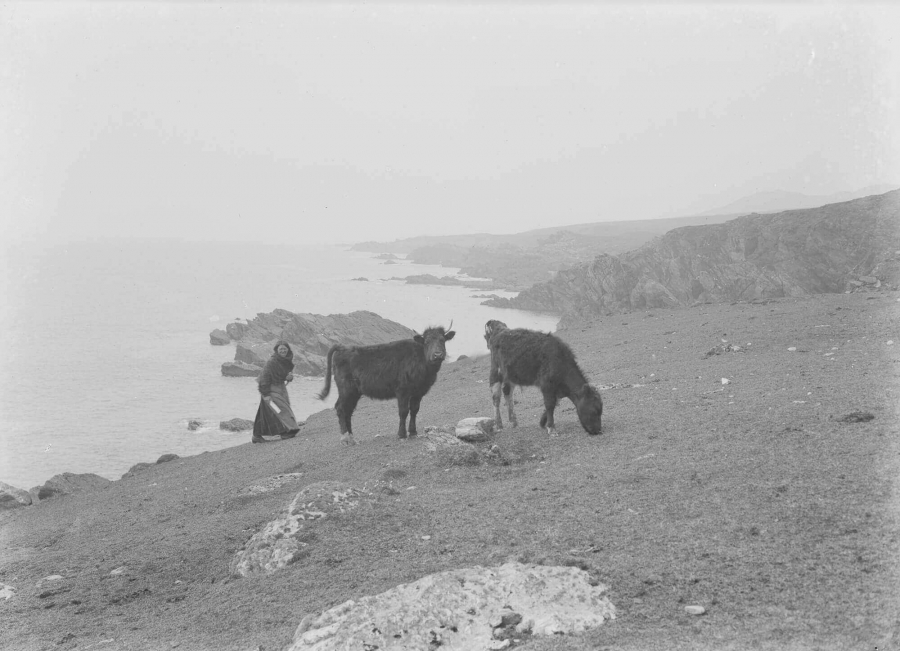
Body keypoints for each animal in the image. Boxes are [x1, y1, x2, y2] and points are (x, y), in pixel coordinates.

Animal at [318, 324, 458, 446]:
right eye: (427, 341)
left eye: (442, 340)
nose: (437, 355)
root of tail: (343, 348)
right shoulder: (402, 391)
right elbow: (403, 411)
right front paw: (402, 435)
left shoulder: (418, 393)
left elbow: (414, 410)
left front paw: (413, 432)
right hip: (346, 389)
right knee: (341, 408)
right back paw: (345, 439)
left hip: (354, 392)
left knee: (348, 410)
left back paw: (352, 438)